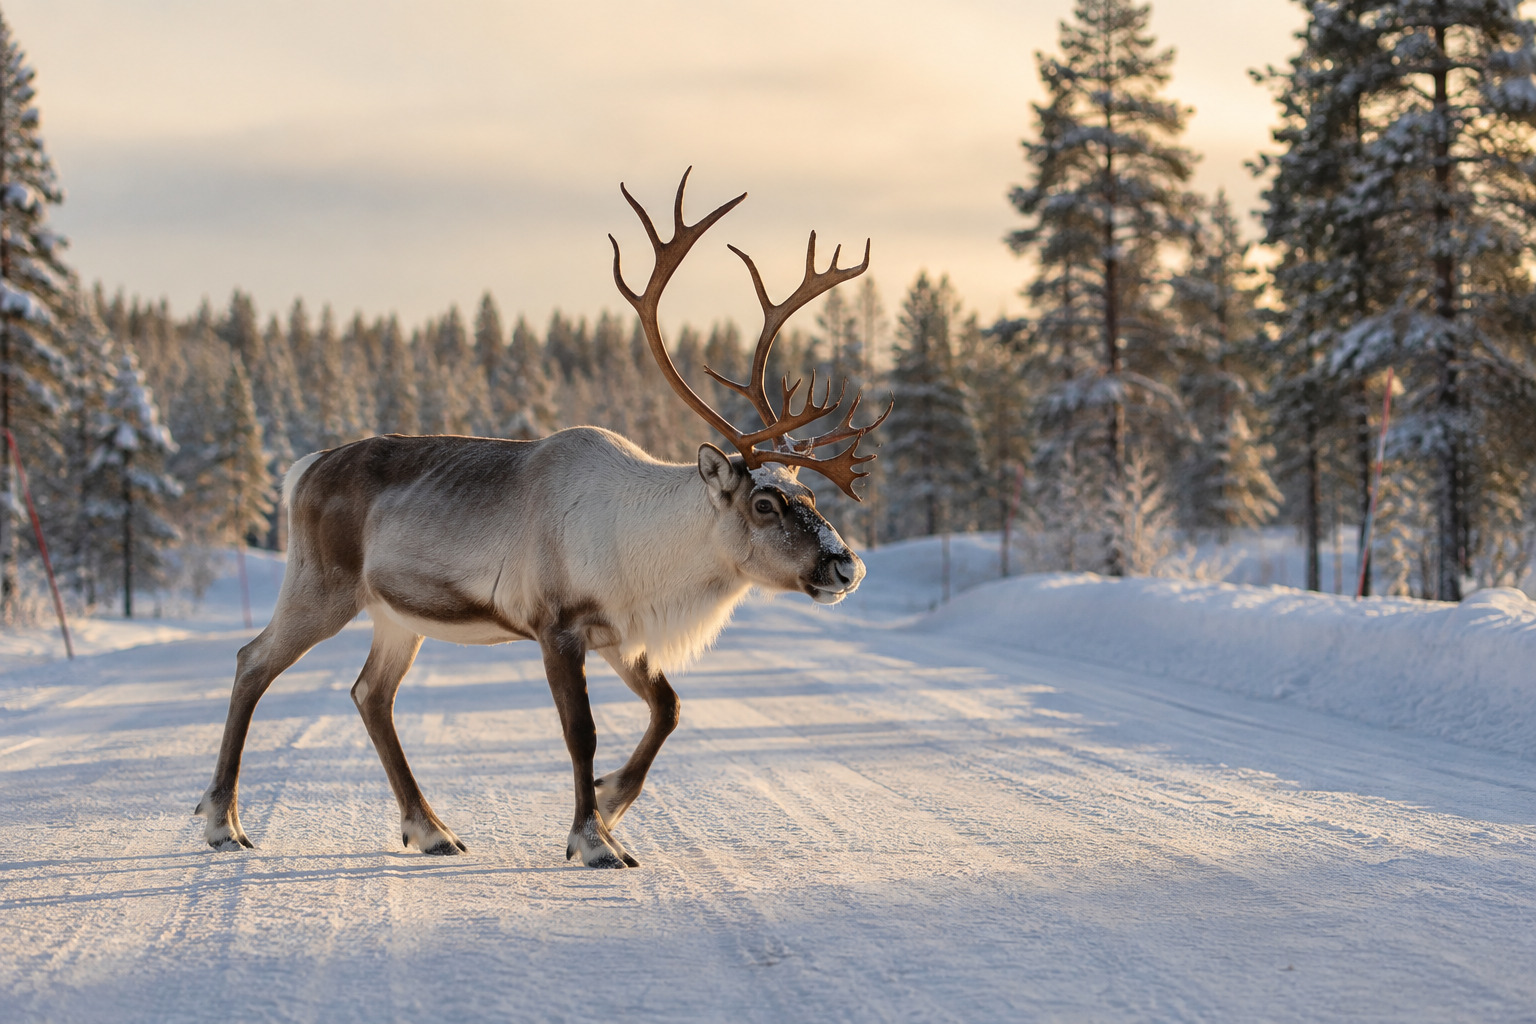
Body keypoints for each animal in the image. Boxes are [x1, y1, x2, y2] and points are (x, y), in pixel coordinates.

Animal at [194, 169, 890, 868]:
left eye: (808, 495)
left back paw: (430, 828)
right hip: (323, 586)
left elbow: (668, 708)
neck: (651, 553)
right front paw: (593, 837)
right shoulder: (557, 625)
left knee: (371, 694)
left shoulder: (619, 634)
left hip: (395, 615)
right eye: (765, 503)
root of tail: (302, 470)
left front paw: (611, 802)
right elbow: (580, 731)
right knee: (252, 661)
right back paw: (222, 821)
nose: (847, 566)